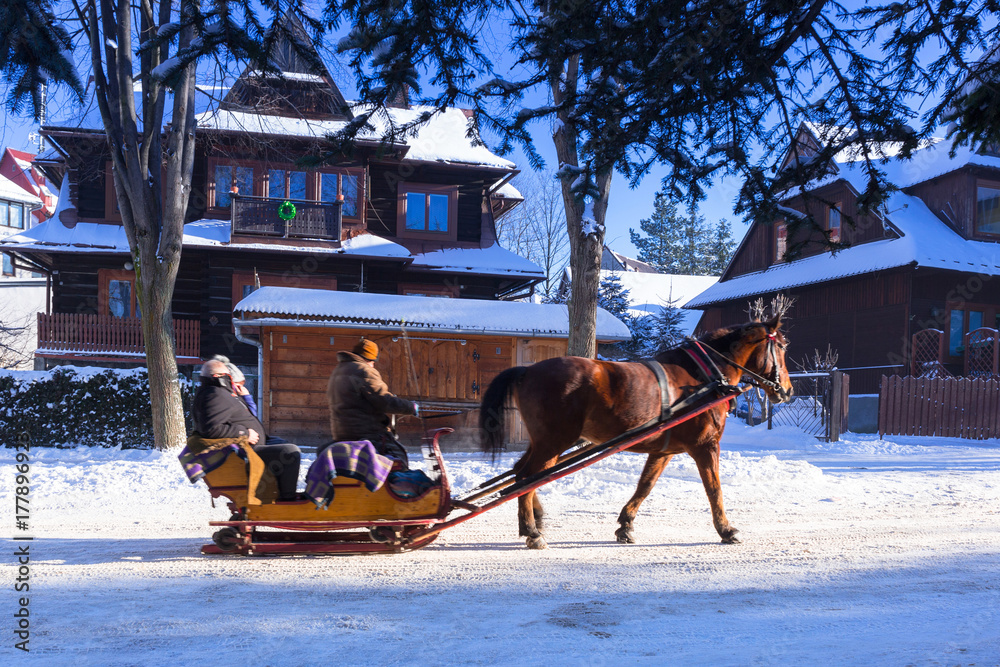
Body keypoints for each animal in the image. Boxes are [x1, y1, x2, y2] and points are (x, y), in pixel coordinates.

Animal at [480, 316, 792, 552]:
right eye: (782, 347)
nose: (787, 390)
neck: (703, 376)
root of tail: (527, 371)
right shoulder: (705, 445)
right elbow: (714, 489)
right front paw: (726, 530)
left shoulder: (663, 450)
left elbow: (645, 485)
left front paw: (626, 525)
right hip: (554, 442)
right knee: (526, 478)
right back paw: (532, 531)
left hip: (545, 442)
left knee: (521, 473)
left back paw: (535, 520)